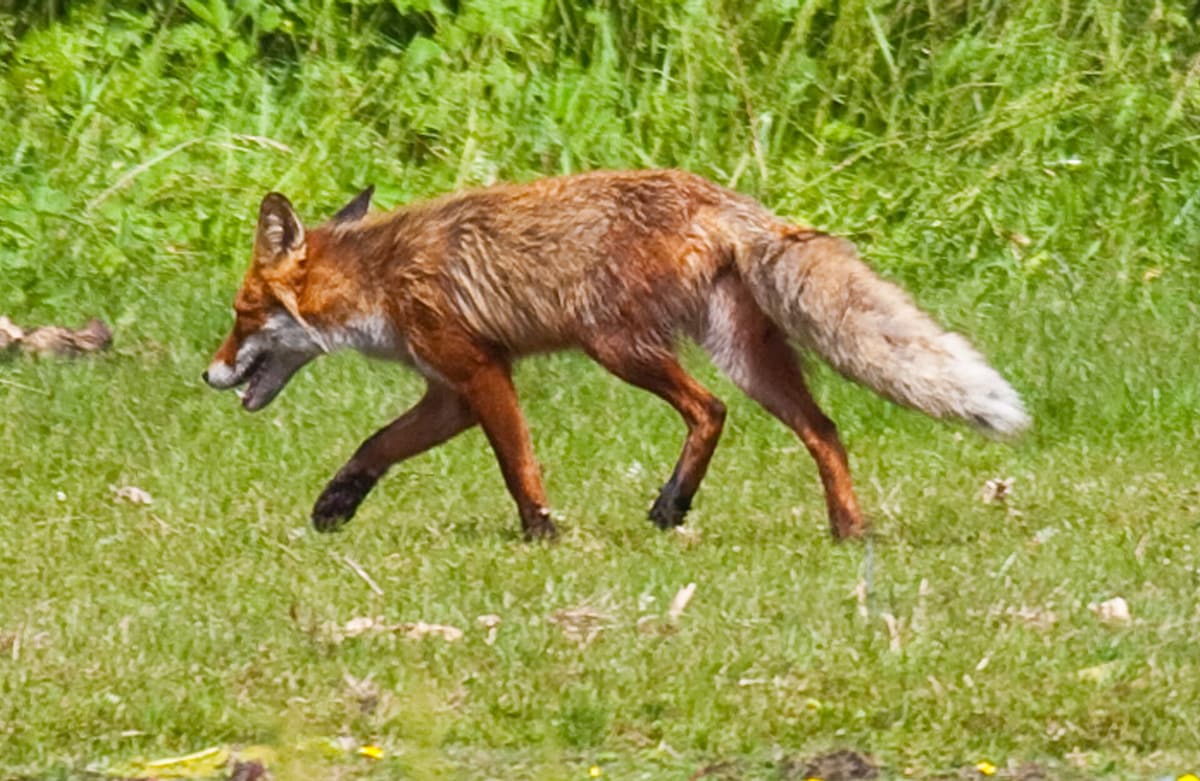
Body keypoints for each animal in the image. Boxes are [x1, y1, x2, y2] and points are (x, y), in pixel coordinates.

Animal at [204, 169, 1029, 540]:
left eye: (241, 316)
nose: (207, 373)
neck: (381, 275)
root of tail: (724, 199)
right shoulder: (449, 392)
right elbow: (376, 443)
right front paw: (335, 504)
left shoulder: (480, 371)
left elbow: (518, 465)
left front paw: (541, 532)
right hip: (748, 356)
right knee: (824, 430)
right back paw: (847, 530)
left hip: (620, 345)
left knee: (710, 409)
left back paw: (673, 503)